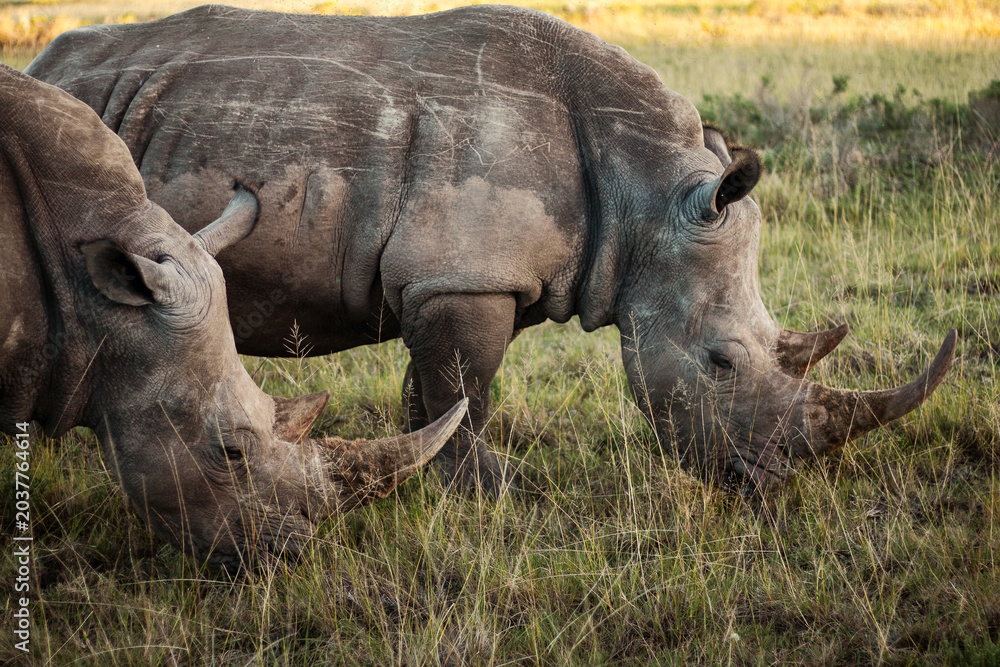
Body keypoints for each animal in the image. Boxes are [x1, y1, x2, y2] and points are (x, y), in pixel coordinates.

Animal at [26, 4, 956, 494]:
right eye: (723, 362)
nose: (766, 479)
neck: (648, 196)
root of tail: (44, 60)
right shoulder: (461, 275)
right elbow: (463, 385)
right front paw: (500, 488)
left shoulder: (459, 277)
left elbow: (432, 389)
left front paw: (437, 481)